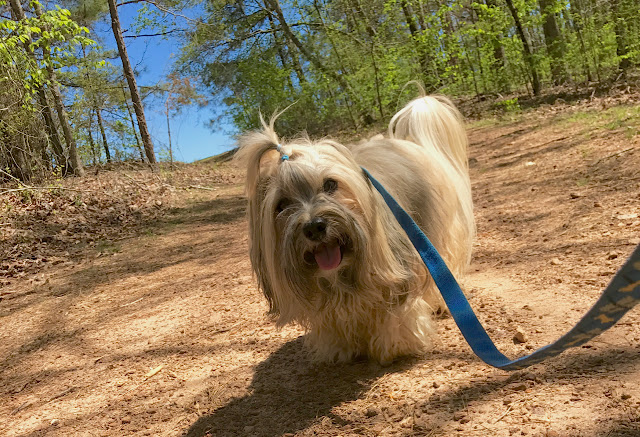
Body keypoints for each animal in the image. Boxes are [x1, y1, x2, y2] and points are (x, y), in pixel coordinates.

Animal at [238, 96, 472, 364]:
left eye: (330, 184)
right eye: (282, 204)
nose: (314, 227)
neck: (341, 278)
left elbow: (396, 312)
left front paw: (395, 344)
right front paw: (340, 345)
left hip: (434, 232)